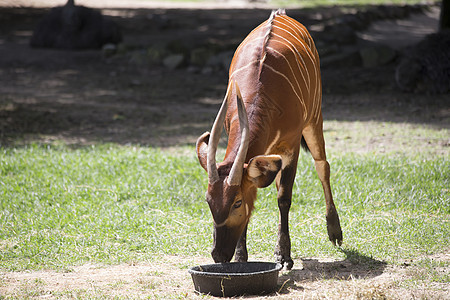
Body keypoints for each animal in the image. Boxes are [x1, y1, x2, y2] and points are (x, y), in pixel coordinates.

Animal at [195, 8, 342, 270]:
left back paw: (334, 231)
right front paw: (241, 257)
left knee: (322, 165)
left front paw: (283, 256)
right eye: (208, 200)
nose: (218, 255)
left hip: (315, 118)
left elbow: (284, 198)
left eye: (237, 202)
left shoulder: (291, 146)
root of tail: (281, 13)